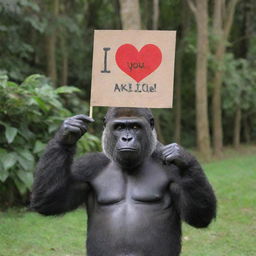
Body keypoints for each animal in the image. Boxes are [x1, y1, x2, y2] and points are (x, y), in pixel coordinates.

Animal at [31, 107, 217, 256]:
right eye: (119, 127)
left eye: (135, 127)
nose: (127, 139)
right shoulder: (87, 167)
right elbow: (52, 201)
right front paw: (67, 134)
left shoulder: (173, 171)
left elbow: (199, 215)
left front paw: (185, 159)